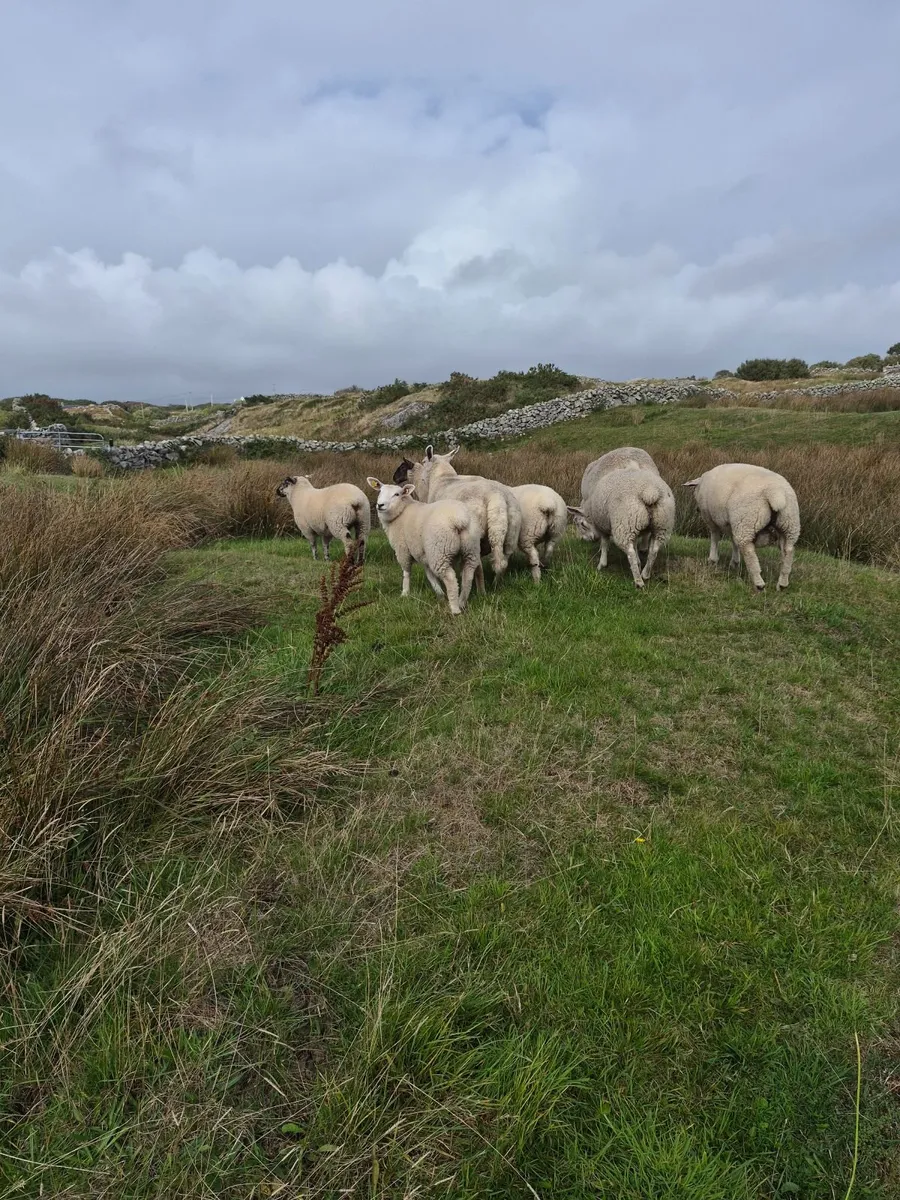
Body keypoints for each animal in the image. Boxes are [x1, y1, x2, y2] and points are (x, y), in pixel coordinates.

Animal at [366, 477, 484, 615]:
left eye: (397, 494)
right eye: (380, 491)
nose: (380, 505)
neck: (401, 512)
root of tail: (460, 519)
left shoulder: (403, 549)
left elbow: (406, 572)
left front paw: (405, 593)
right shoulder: (423, 552)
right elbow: (429, 574)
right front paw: (439, 593)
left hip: (439, 551)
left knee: (450, 578)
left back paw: (455, 609)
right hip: (470, 548)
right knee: (469, 575)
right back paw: (464, 601)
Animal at [404, 446, 522, 581]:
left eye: (424, 462)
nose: (421, 478)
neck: (443, 478)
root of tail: (497, 496)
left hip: (475, 533)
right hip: (511, 532)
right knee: (503, 562)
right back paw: (497, 583)